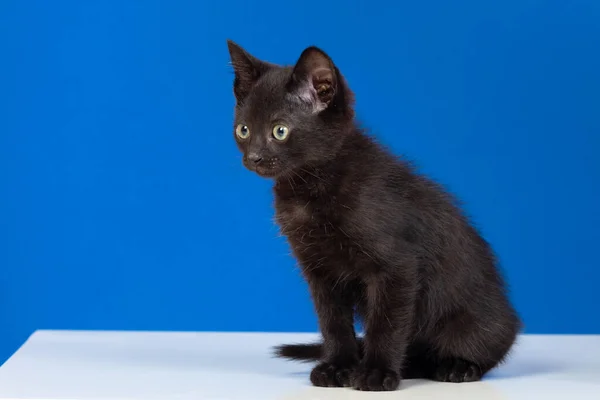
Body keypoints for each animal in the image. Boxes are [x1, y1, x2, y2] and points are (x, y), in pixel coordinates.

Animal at [226, 39, 520, 390]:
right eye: (243, 130)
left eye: (279, 131)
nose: (254, 157)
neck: (311, 187)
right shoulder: (320, 271)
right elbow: (333, 322)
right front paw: (338, 367)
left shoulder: (398, 267)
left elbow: (386, 323)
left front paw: (376, 373)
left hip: (478, 323)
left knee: (482, 347)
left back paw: (456, 366)